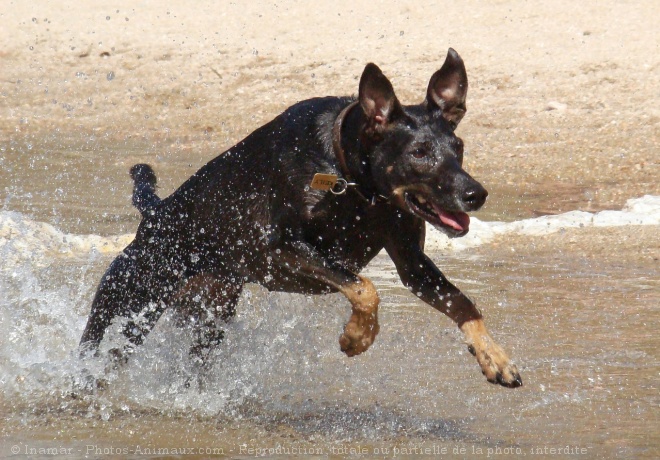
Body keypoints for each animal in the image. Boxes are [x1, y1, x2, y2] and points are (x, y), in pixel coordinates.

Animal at [80, 49, 520, 388]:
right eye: (420, 153)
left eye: (458, 146)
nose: (476, 194)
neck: (350, 178)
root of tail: (154, 213)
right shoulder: (281, 250)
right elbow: (364, 288)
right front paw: (357, 337)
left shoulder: (412, 263)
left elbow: (461, 301)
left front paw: (494, 356)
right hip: (127, 297)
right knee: (94, 349)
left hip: (208, 314)